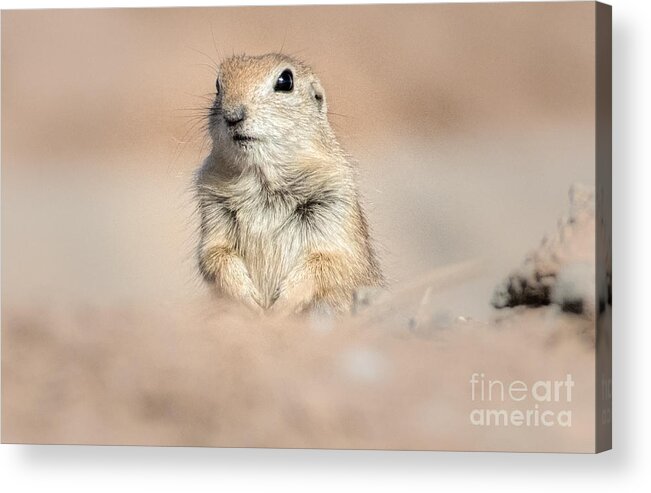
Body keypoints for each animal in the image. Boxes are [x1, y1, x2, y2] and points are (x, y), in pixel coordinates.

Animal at [196, 53, 384, 314]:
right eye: (217, 85)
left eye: (285, 81)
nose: (232, 115)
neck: (262, 179)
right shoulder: (213, 205)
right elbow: (213, 254)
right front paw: (253, 302)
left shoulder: (335, 205)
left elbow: (328, 262)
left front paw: (278, 308)